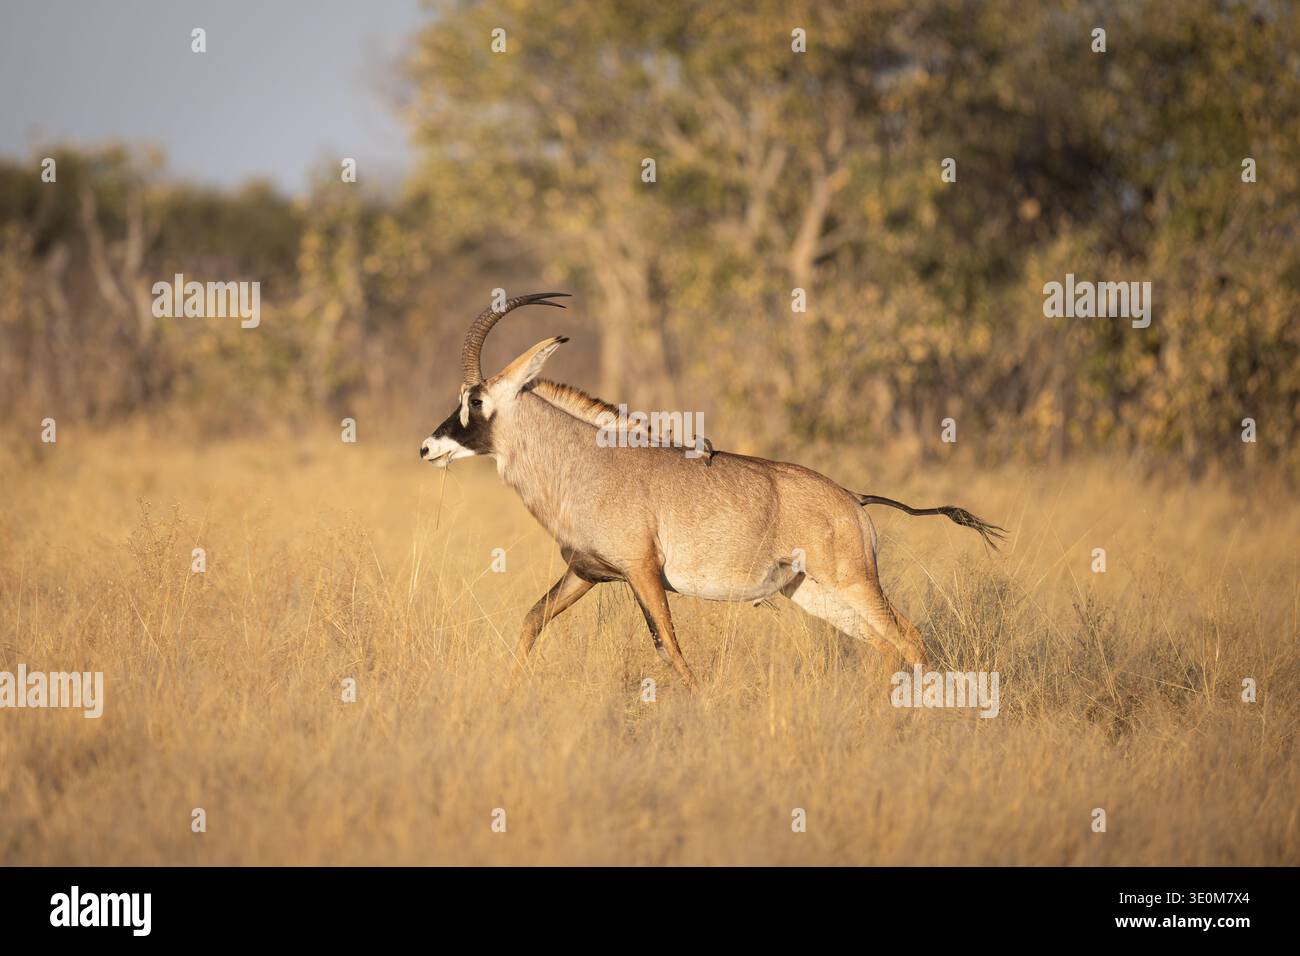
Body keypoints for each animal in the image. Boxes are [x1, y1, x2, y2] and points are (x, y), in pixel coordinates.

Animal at [421, 293, 1004, 688]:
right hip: (811, 591)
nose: (428, 448)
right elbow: (532, 621)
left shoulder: (643, 573)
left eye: (475, 400)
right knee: (885, 645)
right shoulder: (587, 573)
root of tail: (853, 500)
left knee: (908, 637)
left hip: (854, 581)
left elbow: (670, 649)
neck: (585, 460)